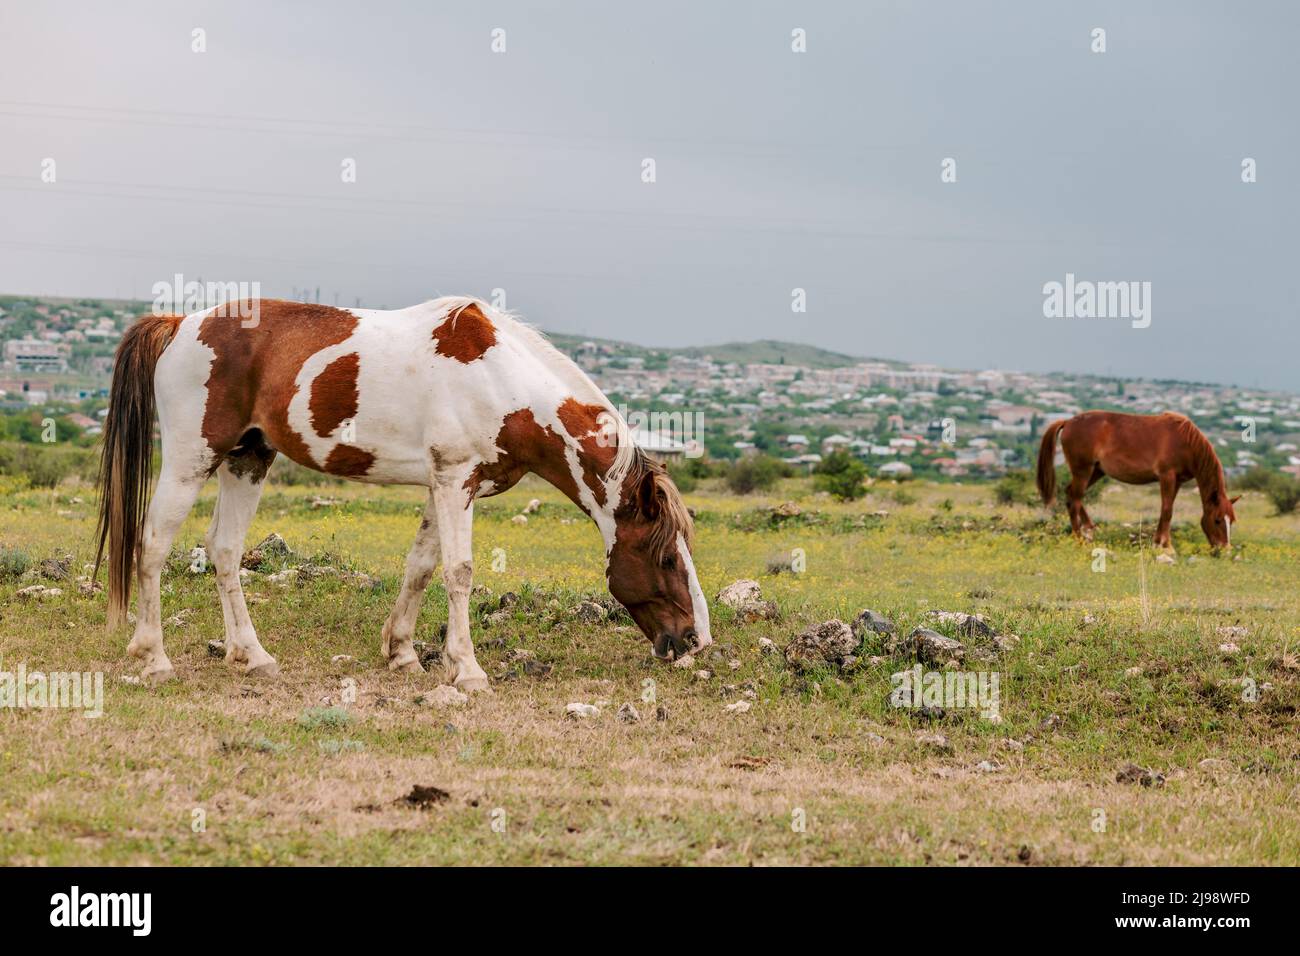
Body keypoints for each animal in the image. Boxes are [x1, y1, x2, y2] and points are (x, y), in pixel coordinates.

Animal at [94, 299, 712, 686]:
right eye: (664, 556)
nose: (693, 640)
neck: (500, 380)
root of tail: (178, 323)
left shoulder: (449, 486)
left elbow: (421, 567)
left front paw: (403, 653)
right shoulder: (455, 481)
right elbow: (459, 572)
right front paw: (467, 669)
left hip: (248, 459)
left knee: (223, 551)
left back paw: (252, 656)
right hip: (190, 460)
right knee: (152, 546)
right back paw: (153, 658)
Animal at [1034, 408, 1237, 548]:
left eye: (1231, 521)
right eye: (1217, 520)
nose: (1224, 549)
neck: (1185, 442)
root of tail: (1068, 422)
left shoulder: (1177, 481)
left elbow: (1167, 509)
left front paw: (1161, 541)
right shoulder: (1167, 477)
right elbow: (1167, 510)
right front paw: (1165, 545)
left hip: (1096, 471)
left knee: (1071, 494)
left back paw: (1089, 529)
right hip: (1083, 470)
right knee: (1075, 499)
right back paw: (1079, 538)